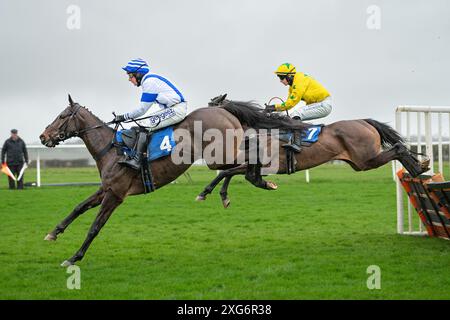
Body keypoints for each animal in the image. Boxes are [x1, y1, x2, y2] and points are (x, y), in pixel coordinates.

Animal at [40, 95, 308, 268]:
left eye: (62, 116)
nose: (43, 136)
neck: (112, 149)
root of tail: (224, 109)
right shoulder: (105, 189)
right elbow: (78, 207)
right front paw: (53, 233)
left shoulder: (115, 194)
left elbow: (95, 227)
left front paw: (74, 257)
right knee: (244, 161)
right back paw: (249, 184)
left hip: (217, 155)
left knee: (244, 163)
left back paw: (242, 184)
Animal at [197, 94, 428, 206]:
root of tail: (364, 121)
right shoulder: (249, 163)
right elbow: (230, 172)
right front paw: (221, 195)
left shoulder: (260, 163)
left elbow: (234, 173)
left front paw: (206, 192)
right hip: (361, 162)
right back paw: (419, 168)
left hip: (365, 160)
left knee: (398, 147)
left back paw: (418, 168)